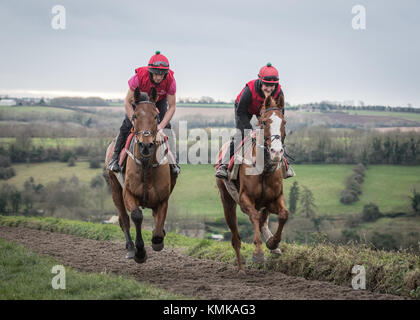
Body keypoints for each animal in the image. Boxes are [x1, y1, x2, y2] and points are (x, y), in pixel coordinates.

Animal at [106, 87, 177, 262]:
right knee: (124, 219)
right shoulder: (128, 193)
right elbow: (137, 216)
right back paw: (131, 248)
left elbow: (158, 229)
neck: (146, 167)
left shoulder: (162, 199)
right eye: (135, 116)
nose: (146, 145)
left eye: (156, 116)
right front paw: (140, 252)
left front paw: (158, 239)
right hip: (114, 187)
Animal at [217, 94, 288, 274]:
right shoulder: (244, 199)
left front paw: (273, 243)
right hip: (227, 202)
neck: (263, 168)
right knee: (236, 237)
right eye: (264, 122)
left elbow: (284, 214)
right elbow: (254, 217)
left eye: (284, 122)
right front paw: (258, 253)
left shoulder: (274, 199)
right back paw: (241, 268)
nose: (276, 152)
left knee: (263, 221)